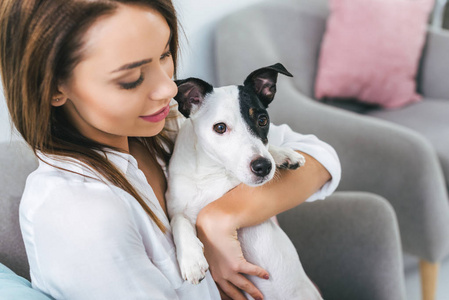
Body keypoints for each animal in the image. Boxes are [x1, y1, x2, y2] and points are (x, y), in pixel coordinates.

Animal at [164, 63, 322, 300]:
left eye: (262, 120)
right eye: (220, 128)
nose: (263, 167)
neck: (214, 170)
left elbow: (268, 148)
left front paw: (284, 154)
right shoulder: (176, 207)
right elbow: (178, 221)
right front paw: (191, 260)